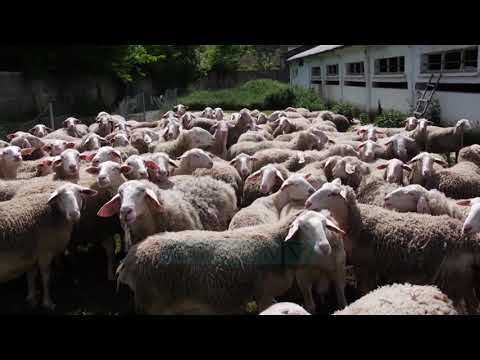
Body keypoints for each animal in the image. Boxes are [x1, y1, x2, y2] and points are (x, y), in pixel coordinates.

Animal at [115, 210, 342, 314]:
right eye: (304, 227)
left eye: (325, 225)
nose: (325, 247)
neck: (279, 243)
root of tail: (129, 259)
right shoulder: (263, 293)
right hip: (153, 302)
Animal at [306, 181, 480, 314]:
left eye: (333, 193)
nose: (308, 203)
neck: (357, 222)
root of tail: (469, 241)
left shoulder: (365, 266)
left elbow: (365, 290)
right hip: (466, 278)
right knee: (472, 304)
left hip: (453, 278)